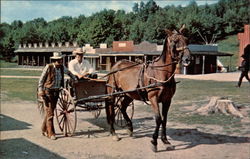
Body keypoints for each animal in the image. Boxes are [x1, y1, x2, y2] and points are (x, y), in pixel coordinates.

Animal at [105, 24, 189, 152]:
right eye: (175, 41)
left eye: (186, 39)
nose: (187, 59)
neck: (161, 72)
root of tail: (116, 64)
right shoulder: (153, 98)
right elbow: (158, 119)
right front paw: (154, 141)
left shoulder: (167, 100)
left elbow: (164, 119)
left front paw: (165, 141)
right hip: (112, 93)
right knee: (111, 109)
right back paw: (114, 133)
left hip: (129, 94)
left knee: (122, 107)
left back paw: (129, 127)